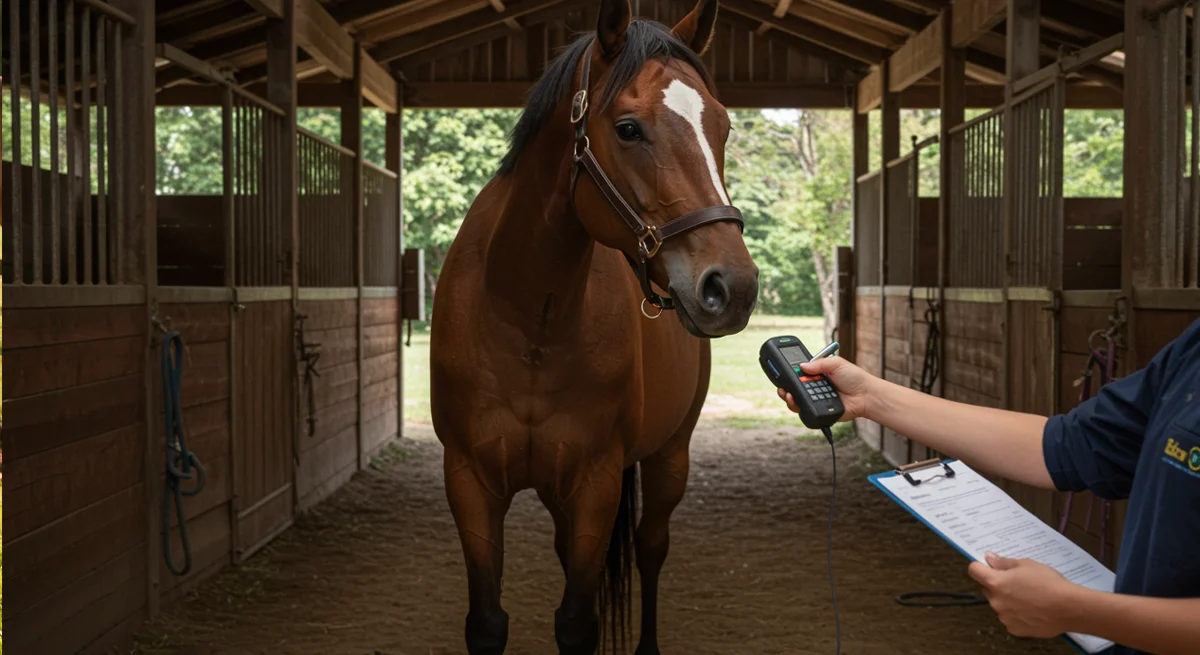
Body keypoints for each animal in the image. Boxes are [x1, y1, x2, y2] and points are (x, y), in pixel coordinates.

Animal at [429, 0, 759, 651]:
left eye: (723, 128)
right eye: (628, 128)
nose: (732, 288)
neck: (528, 321)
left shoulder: (595, 484)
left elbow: (579, 622)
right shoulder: (470, 482)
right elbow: (487, 622)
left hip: (669, 456)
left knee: (652, 549)